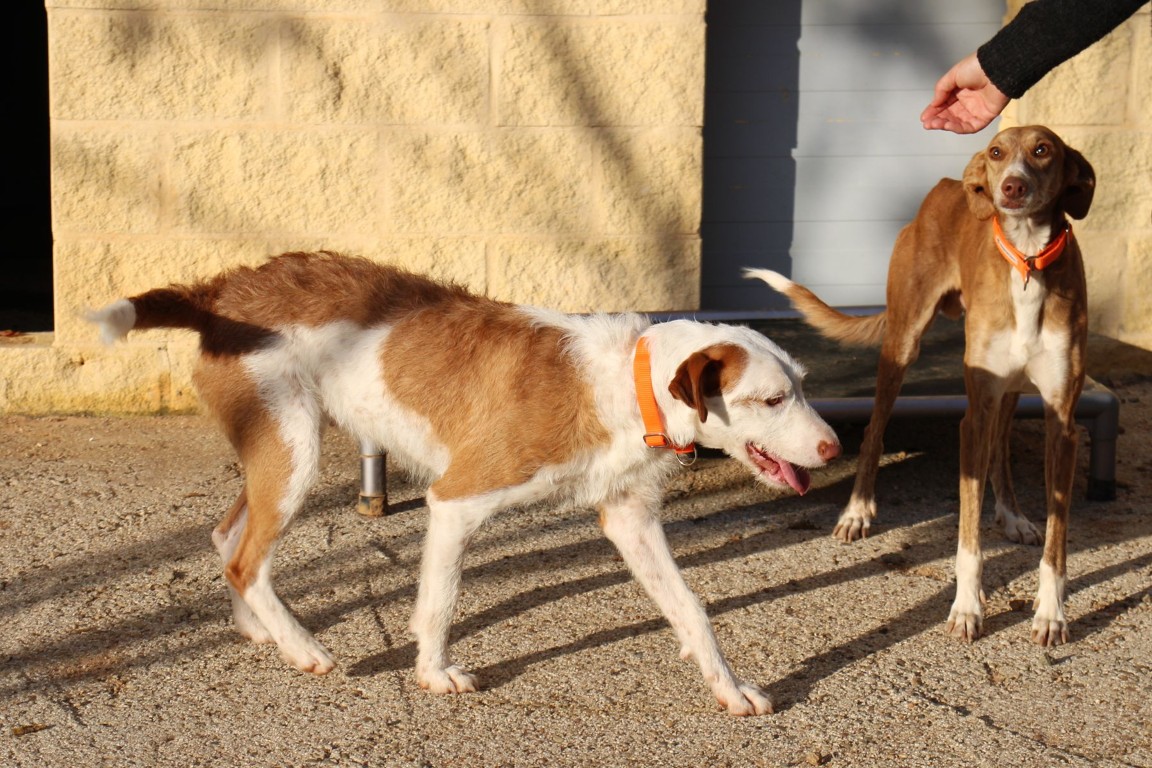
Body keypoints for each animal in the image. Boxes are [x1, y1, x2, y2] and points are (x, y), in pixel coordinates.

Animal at [88, 252, 841, 715]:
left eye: (805, 385)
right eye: (772, 400)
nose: (833, 447)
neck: (627, 382)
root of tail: (221, 290)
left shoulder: (630, 517)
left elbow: (692, 609)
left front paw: (731, 688)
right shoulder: (456, 500)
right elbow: (441, 602)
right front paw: (432, 673)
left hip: (275, 448)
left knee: (229, 542)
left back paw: (261, 630)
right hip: (294, 450)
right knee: (247, 559)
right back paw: (301, 648)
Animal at [747, 125, 1095, 647]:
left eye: (1042, 150)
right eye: (997, 152)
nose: (1011, 187)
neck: (1027, 261)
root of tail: (945, 187)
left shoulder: (1062, 424)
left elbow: (1057, 539)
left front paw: (1051, 613)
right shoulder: (972, 418)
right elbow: (967, 536)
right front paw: (968, 608)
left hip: (1009, 390)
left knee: (1000, 450)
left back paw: (1011, 515)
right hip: (903, 342)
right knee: (874, 432)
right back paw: (856, 512)